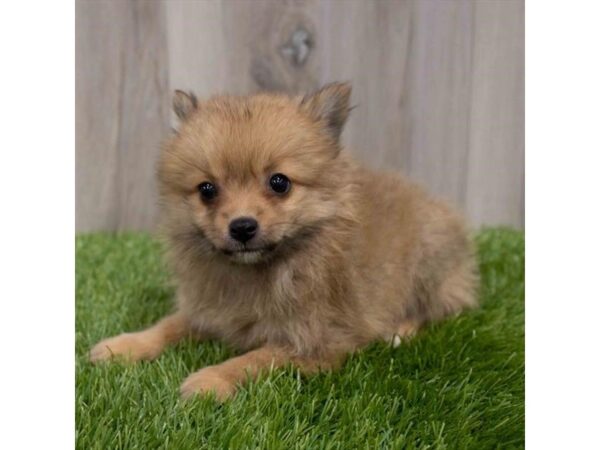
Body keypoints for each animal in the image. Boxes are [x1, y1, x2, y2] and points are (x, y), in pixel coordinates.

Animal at [90, 82, 478, 400]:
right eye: (207, 190)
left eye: (279, 182)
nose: (242, 226)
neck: (257, 272)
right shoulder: (208, 310)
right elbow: (167, 325)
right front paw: (123, 346)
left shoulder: (312, 342)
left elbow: (255, 358)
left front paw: (209, 381)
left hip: (429, 258)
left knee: (436, 308)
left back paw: (399, 329)